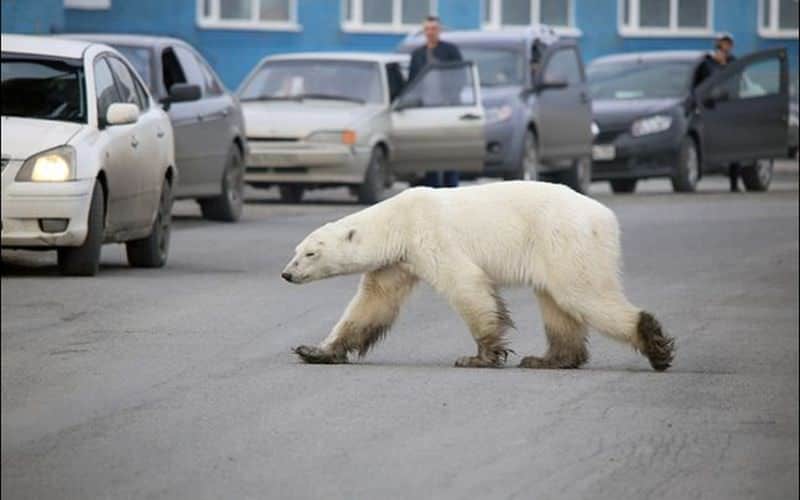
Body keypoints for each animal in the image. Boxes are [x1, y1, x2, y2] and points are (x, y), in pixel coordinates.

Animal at [282, 182, 676, 370]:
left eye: (311, 253)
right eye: (296, 250)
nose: (286, 274)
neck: (399, 220)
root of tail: (606, 216)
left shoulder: (431, 236)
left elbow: (466, 285)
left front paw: (479, 357)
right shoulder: (397, 262)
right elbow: (371, 304)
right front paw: (314, 350)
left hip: (564, 239)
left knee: (582, 293)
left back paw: (654, 344)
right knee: (556, 303)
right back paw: (548, 359)